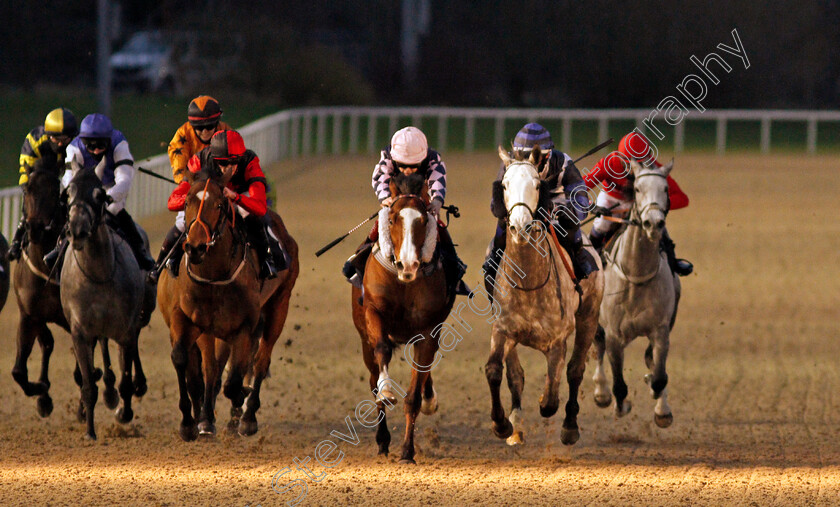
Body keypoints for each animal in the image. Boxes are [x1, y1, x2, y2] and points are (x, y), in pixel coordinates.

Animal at [60, 166, 155, 440]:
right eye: (68, 193)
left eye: (100, 195)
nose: (77, 229)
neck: (99, 274)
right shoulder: (80, 331)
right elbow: (88, 384)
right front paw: (90, 431)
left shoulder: (124, 328)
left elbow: (125, 375)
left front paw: (124, 412)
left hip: (140, 314)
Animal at [158, 172, 298, 440]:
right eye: (187, 202)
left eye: (219, 205)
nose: (195, 247)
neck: (214, 277)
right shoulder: (189, 320)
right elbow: (186, 361)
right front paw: (190, 422)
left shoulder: (244, 326)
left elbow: (233, 380)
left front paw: (240, 400)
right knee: (214, 367)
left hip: (279, 305)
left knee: (260, 361)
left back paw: (247, 417)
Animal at [350, 178, 452, 464]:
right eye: (393, 218)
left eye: (424, 221)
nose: (408, 264)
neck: (404, 282)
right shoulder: (374, 312)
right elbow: (382, 351)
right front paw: (386, 390)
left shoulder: (428, 331)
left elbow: (414, 394)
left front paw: (407, 451)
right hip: (363, 340)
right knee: (373, 379)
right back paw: (383, 440)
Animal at [486, 145, 604, 446]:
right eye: (504, 184)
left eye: (537, 185)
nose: (519, 227)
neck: (529, 282)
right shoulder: (503, 330)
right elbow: (496, 371)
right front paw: (502, 424)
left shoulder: (557, 340)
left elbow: (551, 395)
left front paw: (546, 404)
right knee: (516, 375)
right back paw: (516, 428)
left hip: (589, 318)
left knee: (575, 370)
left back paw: (570, 426)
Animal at [592, 160, 684, 428]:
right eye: (638, 189)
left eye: (665, 189)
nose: (653, 223)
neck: (636, 275)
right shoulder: (614, 334)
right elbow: (619, 384)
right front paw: (619, 404)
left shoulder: (661, 330)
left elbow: (659, 375)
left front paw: (661, 409)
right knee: (597, 346)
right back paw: (601, 393)